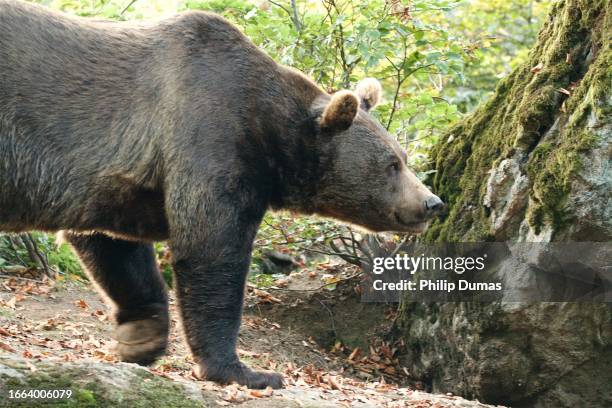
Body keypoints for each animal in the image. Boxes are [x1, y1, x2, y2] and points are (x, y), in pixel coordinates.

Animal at [0, 0, 440, 388]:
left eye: (403, 156)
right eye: (392, 164)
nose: (432, 202)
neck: (272, 132)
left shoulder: (113, 183)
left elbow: (113, 247)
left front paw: (141, 338)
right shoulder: (210, 130)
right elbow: (211, 248)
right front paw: (246, 370)